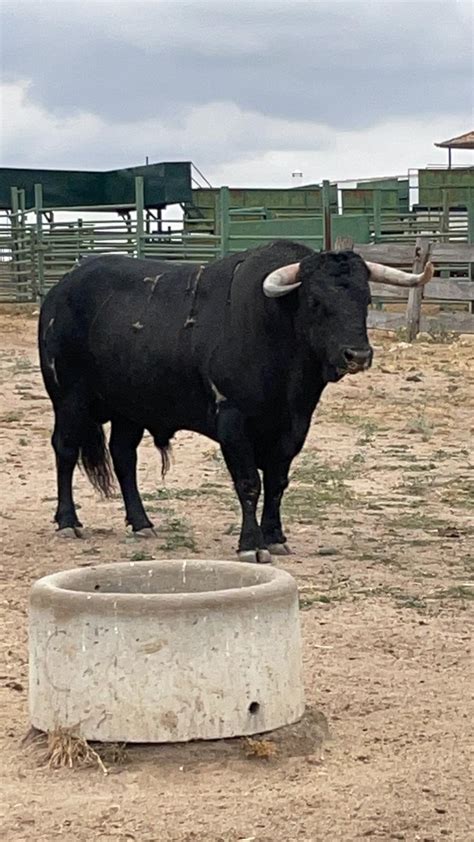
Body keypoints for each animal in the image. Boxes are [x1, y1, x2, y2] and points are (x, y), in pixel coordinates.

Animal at [37, 240, 430, 560]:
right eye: (316, 301)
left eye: (365, 299)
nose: (358, 355)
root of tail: (60, 288)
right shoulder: (233, 420)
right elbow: (249, 483)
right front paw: (251, 544)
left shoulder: (294, 426)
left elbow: (277, 483)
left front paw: (275, 537)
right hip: (69, 399)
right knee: (65, 450)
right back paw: (68, 521)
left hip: (129, 407)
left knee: (123, 456)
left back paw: (141, 522)